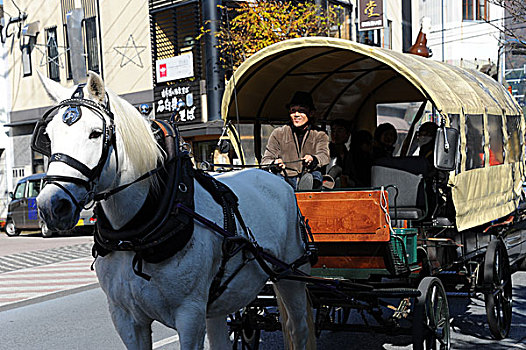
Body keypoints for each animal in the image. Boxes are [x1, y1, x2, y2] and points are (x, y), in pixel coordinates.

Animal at [37, 72, 316, 350]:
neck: (137, 235)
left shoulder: (189, 314)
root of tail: (277, 176)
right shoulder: (125, 317)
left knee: (298, 327)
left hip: (291, 275)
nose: (52, 205)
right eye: (49, 136)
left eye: (95, 134)